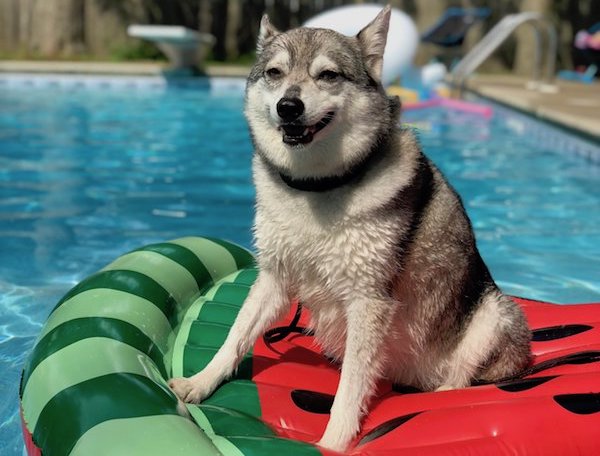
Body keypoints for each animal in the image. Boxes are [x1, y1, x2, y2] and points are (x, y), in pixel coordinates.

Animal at [169, 8, 528, 452]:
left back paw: (442, 396)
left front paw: (333, 442)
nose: (289, 107)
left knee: (461, 381)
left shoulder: (368, 300)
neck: (317, 186)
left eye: (328, 75)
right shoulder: (274, 276)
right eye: (274, 73)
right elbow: (234, 336)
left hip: (494, 315)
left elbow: (350, 387)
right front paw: (199, 382)